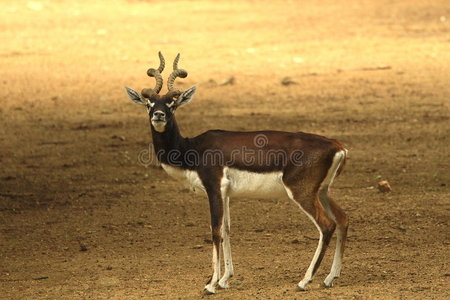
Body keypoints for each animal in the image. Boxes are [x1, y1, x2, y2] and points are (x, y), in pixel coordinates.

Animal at [125, 52, 350, 294]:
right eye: (149, 103)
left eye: (172, 104)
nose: (158, 115)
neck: (192, 149)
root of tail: (337, 145)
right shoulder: (226, 194)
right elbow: (227, 230)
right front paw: (224, 279)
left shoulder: (214, 188)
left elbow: (215, 231)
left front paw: (211, 284)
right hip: (323, 191)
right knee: (343, 219)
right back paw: (329, 278)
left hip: (302, 192)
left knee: (327, 225)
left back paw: (304, 281)